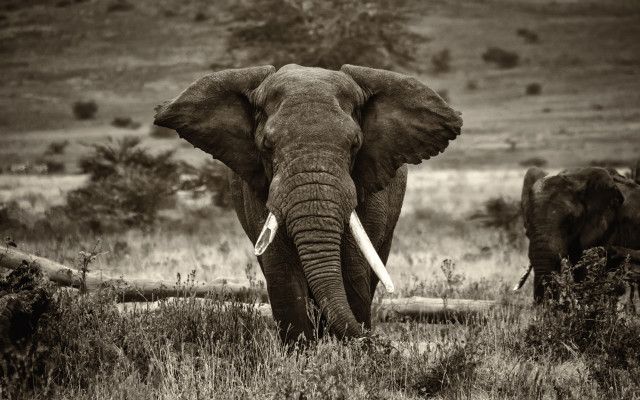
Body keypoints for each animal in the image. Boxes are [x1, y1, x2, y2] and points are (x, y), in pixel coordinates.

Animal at [154, 64, 462, 342]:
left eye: (354, 144)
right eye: (266, 146)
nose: (377, 342)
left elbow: (352, 270)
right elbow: (283, 275)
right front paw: (302, 358)